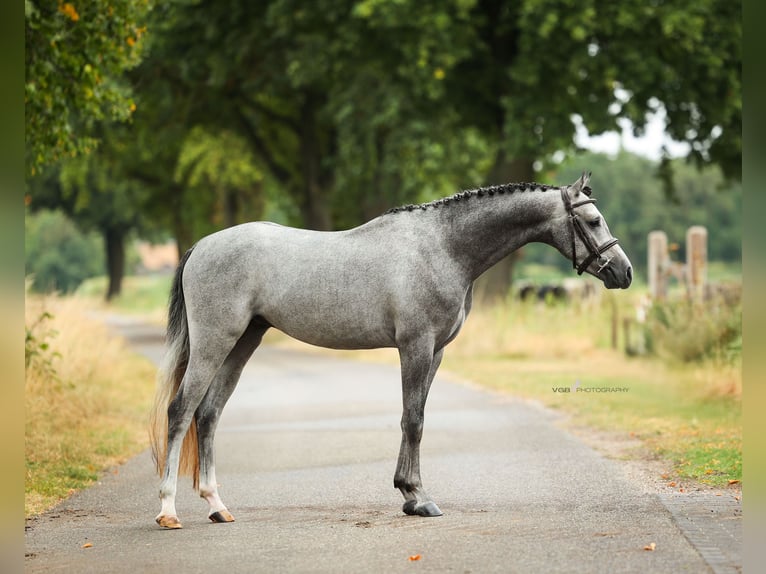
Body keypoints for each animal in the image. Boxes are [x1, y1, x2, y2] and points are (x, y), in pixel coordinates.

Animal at [149, 172, 632, 528]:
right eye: (593, 221)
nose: (624, 272)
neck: (444, 247)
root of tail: (202, 245)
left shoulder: (435, 352)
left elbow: (414, 417)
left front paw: (409, 494)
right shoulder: (415, 345)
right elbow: (413, 420)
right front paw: (418, 497)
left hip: (243, 341)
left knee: (209, 413)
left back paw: (217, 506)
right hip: (215, 341)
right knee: (181, 411)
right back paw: (168, 510)